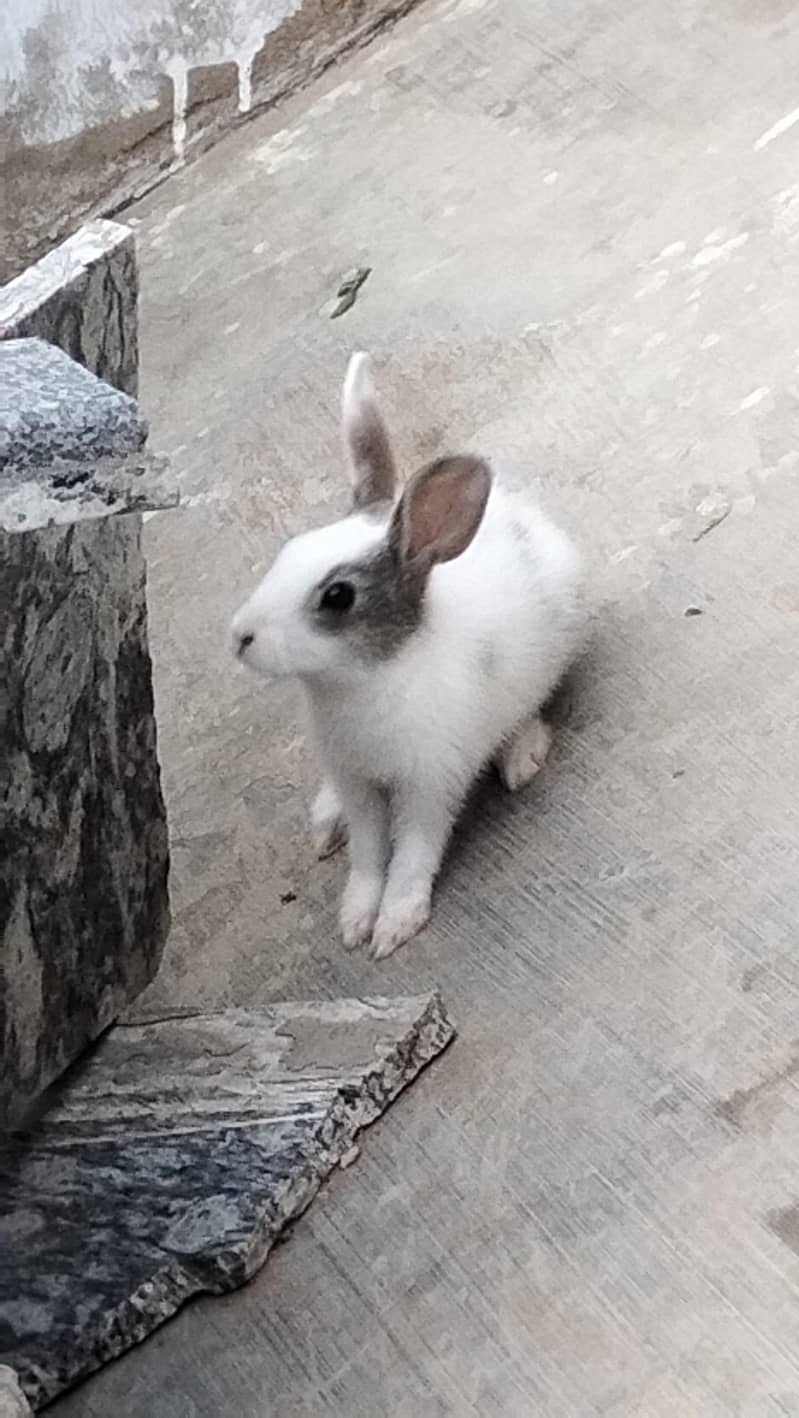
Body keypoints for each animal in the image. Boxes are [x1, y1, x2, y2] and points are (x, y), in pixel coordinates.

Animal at [231, 352, 585, 959]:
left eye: (337, 596)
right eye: (288, 551)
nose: (240, 636)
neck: (368, 678)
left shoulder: (428, 782)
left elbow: (414, 852)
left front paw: (394, 925)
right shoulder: (358, 783)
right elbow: (369, 855)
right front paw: (356, 920)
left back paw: (521, 757)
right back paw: (326, 819)